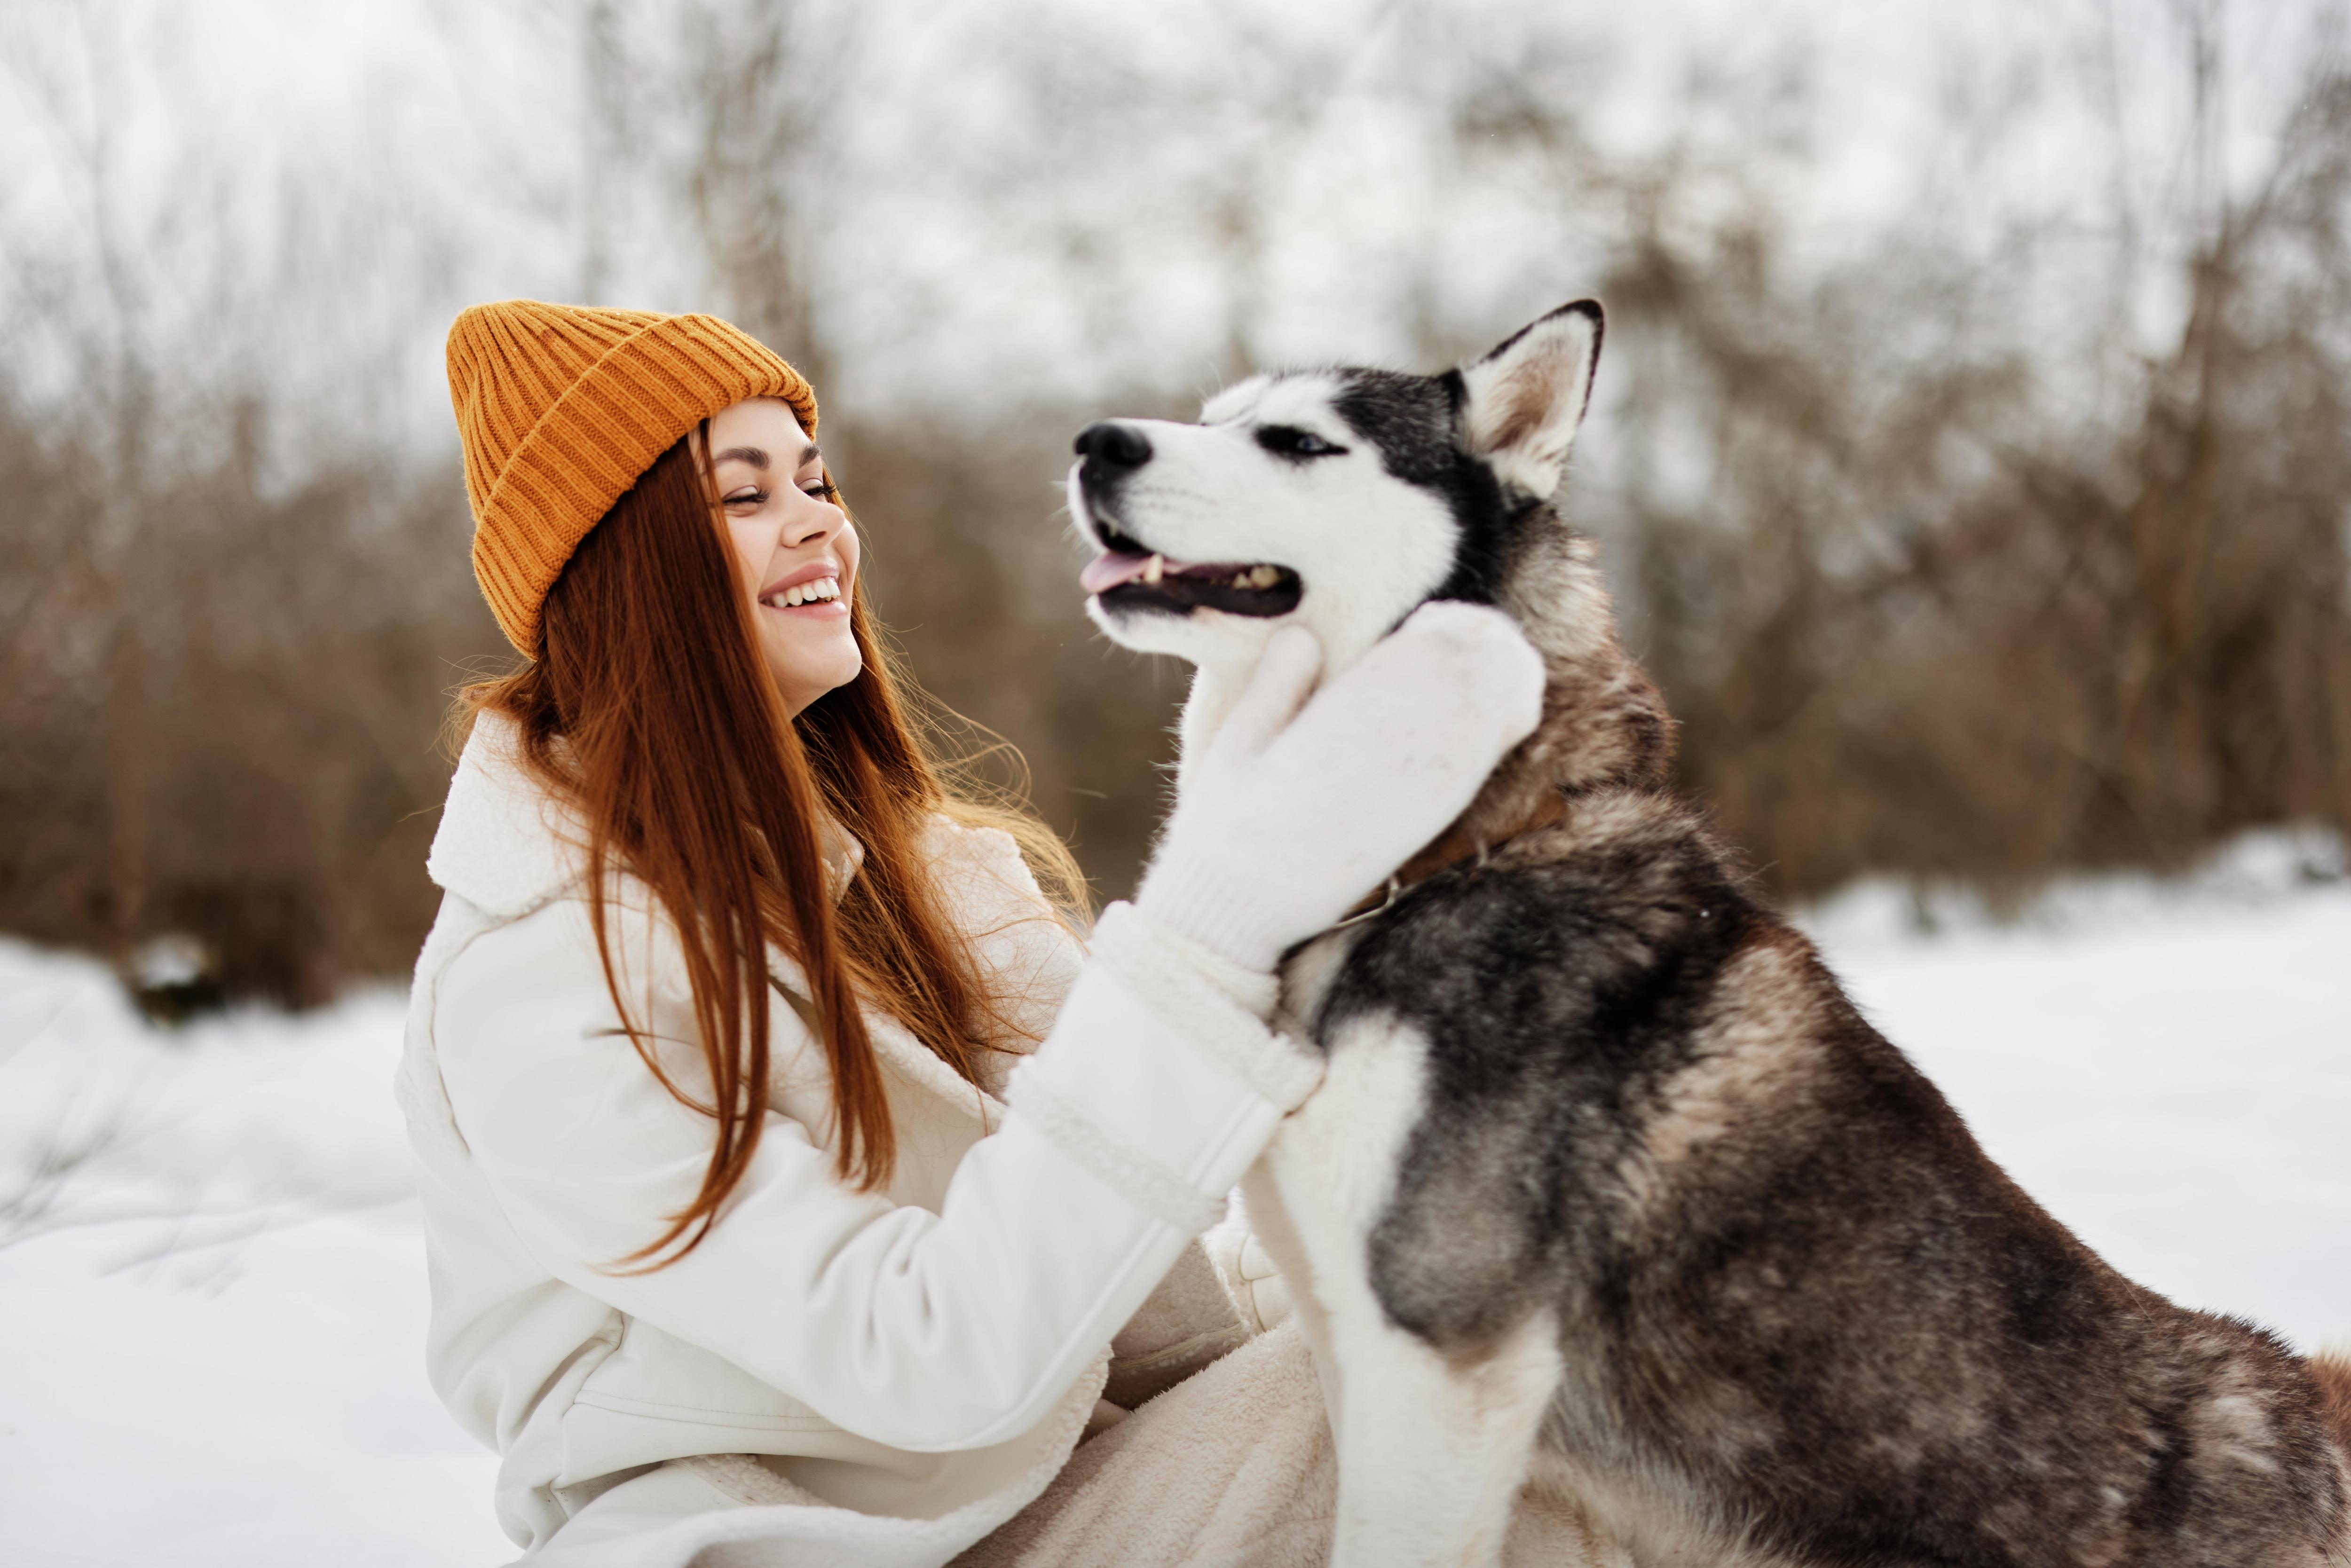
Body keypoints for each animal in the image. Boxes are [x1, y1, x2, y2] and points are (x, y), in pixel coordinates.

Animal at [1077, 301, 2351, 1561]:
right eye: (1211, 416)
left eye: (1299, 442)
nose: (1096, 442)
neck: (1445, 853)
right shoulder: (1362, 1354)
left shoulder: (1438, 1361)